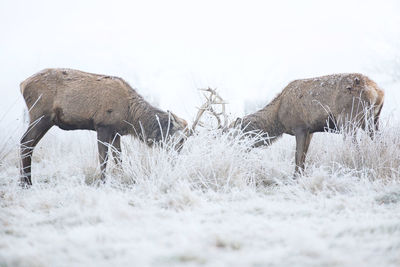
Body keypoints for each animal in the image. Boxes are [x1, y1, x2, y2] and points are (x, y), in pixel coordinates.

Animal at [19, 68, 188, 187]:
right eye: (180, 139)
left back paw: (24, 181)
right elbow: (103, 159)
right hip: (40, 115)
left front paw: (121, 178)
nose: (175, 159)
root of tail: (22, 84)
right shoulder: (102, 125)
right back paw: (26, 183)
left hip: (44, 119)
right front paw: (103, 182)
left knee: (29, 144)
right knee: (25, 141)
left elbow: (119, 158)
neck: (130, 116)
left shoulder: (116, 133)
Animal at [231, 73, 384, 176]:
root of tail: (377, 92)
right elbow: (303, 156)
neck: (278, 119)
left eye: (236, 134)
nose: (233, 149)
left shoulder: (300, 127)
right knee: (381, 142)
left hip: (349, 120)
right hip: (373, 121)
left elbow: (297, 157)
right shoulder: (310, 131)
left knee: (355, 148)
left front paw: (295, 178)